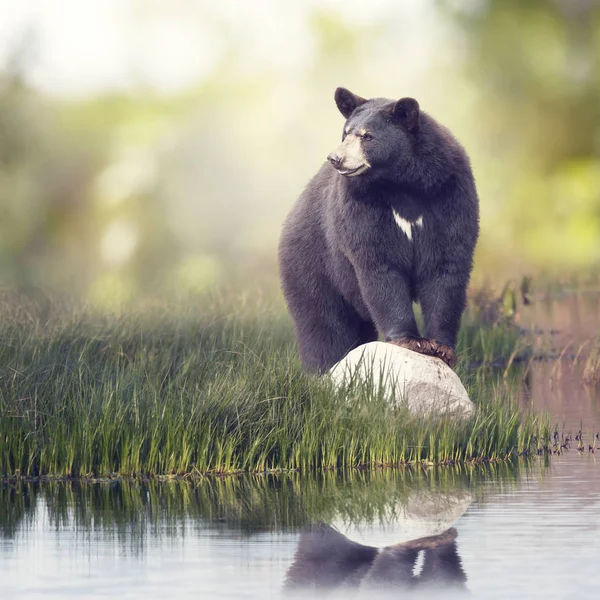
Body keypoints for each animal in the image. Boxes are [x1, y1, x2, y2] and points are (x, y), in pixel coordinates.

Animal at [276, 87, 478, 372]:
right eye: (345, 133)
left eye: (367, 136)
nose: (336, 158)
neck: (402, 183)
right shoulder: (362, 206)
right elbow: (379, 265)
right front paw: (411, 340)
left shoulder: (449, 194)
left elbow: (446, 266)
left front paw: (441, 347)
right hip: (313, 262)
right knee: (324, 323)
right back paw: (323, 367)